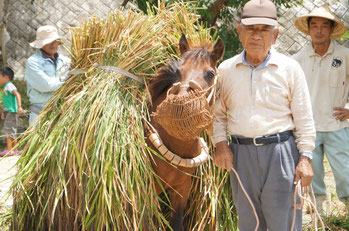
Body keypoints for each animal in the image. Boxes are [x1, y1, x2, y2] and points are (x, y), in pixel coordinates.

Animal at [144, 34, 223, 231]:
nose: (180, 106)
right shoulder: (151, 188)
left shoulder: (182, 190)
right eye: (179, 71)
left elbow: (177, 224)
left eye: (210, 74)